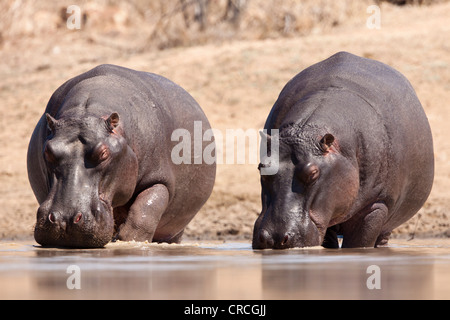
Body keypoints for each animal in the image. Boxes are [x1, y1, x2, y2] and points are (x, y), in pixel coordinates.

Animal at [26, 64, 216, 248]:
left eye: (103, 153)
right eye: (48, 151)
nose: (64, 220)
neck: (87, 112)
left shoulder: (159, 179)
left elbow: (145, 212)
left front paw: (128, 240)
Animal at [251, 52, 434, 250]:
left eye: (313, 173)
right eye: (262, 167)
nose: (274, 238)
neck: (306, 131)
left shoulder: (375, 206)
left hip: (386, 222)